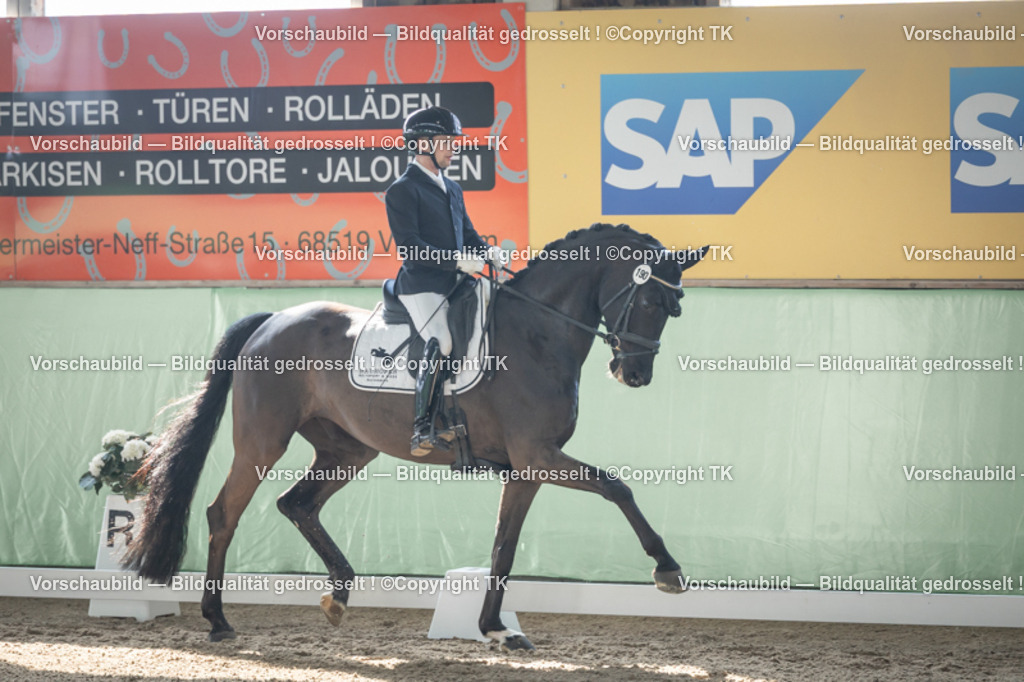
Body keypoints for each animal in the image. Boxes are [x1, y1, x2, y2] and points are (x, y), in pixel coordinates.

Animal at [124, 223, 706, 650]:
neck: (537, 334)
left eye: (675, 309)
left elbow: (504, 546)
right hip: (263, 443)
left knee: (298, 504)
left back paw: (339, 594)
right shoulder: (540, 455)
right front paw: (668, 569)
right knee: (224, 514)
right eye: (650, 303)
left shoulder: (527, 466)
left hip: (348, 448)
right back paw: (218, 620)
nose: (635, 375)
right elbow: (617, 487)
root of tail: (271, 321)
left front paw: (496, 628)